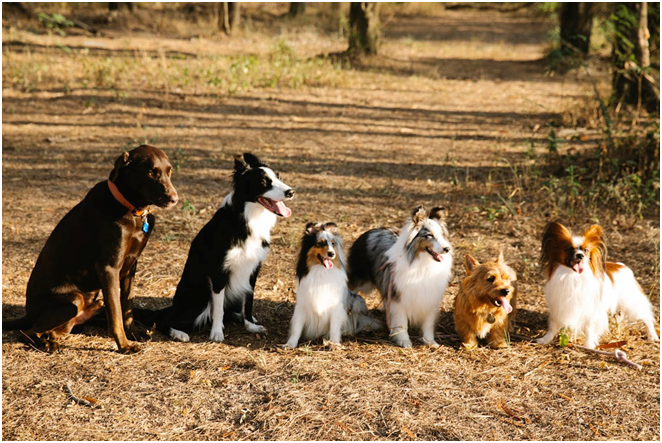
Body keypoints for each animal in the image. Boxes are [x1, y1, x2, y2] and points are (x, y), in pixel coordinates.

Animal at [2, 146, 179, 354]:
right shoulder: (109, 268)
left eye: (169, 172)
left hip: (91, 304)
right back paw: (47, 344)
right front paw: (124, 345)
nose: (174, 199)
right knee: (28, 332)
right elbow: (116, 314)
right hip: (73, 301)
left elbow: (127, 306)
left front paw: (134, 333)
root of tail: (27, 314)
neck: (132, 211)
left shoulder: (130, 267)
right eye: (151, 172)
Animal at [348, 206, 456, 348]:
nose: (447, 249)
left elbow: (428, 323)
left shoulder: (429, 297)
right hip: (360, 281)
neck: (422, 263)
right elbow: (401, 322)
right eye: (429, 235)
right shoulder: (398, 298)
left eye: (442, 235)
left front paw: (430, 342)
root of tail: (368, 232)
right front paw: (404, 341)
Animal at [540, 222, 660, 350]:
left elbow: (589, 327)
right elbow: (553, 325)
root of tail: (622, 266)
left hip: (632, 303)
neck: (573, 276)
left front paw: (588, 344)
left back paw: (652, 335)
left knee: (647, 317)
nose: (580, 255)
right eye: (569, 249)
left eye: (586, 250)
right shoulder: (558, 305)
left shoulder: (590, 309)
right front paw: (545, 339)